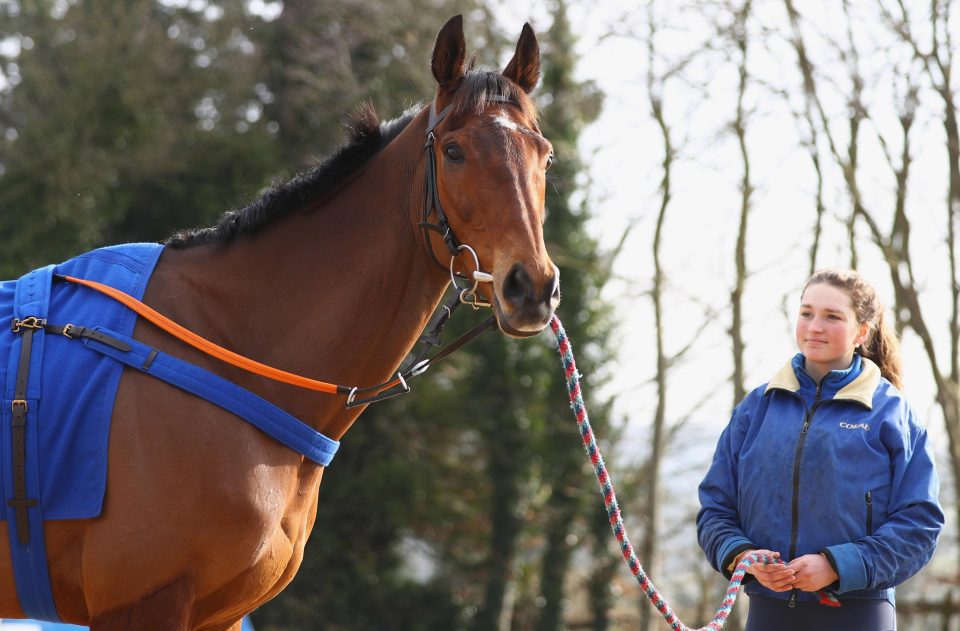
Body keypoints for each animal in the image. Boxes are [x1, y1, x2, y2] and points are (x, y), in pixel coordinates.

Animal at [0, 16, 556, 631]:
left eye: (545, 157)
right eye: (454, 151)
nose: (531, 286)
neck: (222, 351)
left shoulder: (217, 614)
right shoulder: (143, 603)